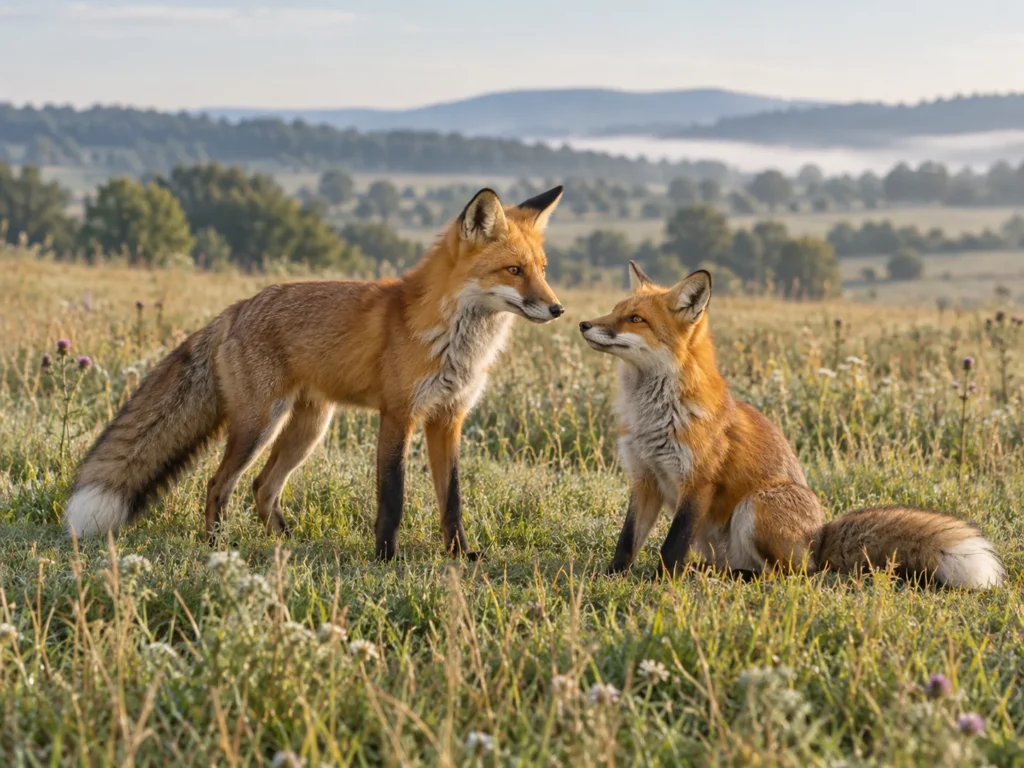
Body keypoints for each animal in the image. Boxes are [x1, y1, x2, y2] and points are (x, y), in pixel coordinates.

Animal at [65, 186, 566, 560]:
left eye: (543, 270)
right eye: (513, 270)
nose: (558, 309)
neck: (454, 341)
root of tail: (235, 309)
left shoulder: (448, 418)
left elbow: (453, 500)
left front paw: (460, 554)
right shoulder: (399, 415)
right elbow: (393, 495)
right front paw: (387, 558)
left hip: (308, 429)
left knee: (262, 488)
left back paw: (288, 543)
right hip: (260, 426)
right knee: (219, 484)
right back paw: (218, 546)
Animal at [578, 262, 1005, 589]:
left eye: (636, 319)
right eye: (614, 310)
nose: (582, 322)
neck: (654, 414)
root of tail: (819, 540)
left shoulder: (697, 482)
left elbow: (670, 548)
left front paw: (658, 585)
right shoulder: (645, 478)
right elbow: (627, 542)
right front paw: (610, 579)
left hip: (757, 505)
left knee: (790, 575)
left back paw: (730, 578)